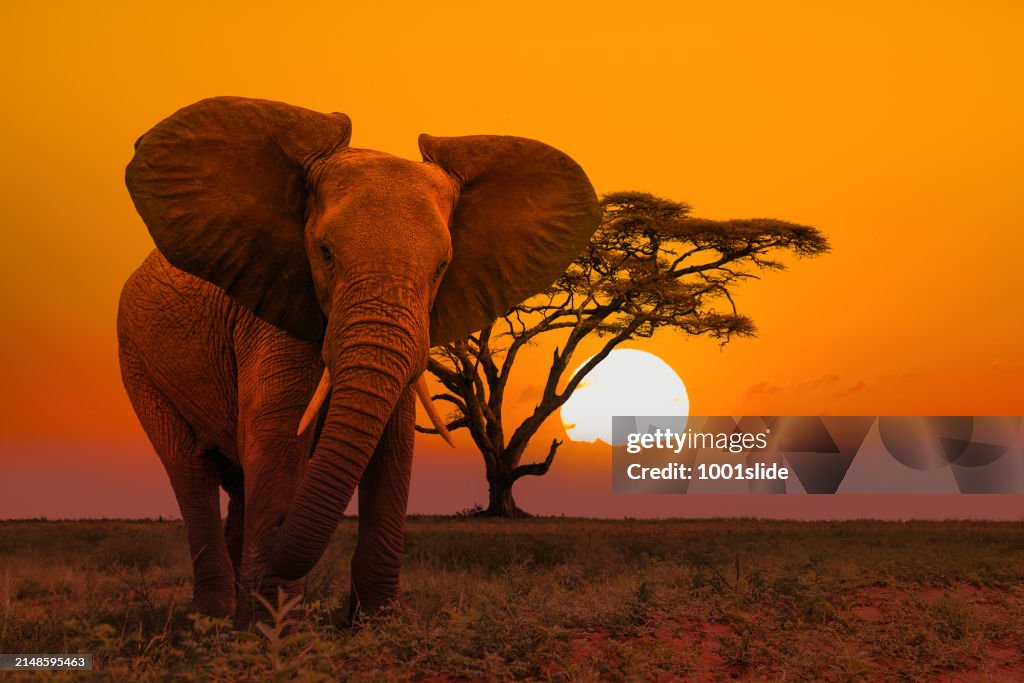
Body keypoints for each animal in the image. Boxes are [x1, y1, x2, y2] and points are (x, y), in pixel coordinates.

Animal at [117, 96, 600, 626]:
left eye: (441, 267)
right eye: (325, 253)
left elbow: (393, 447)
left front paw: (379, 623)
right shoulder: (273, 305)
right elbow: (278, 435)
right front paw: (274, 631)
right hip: (137, 360)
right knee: (190, 469)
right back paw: (213, 615)